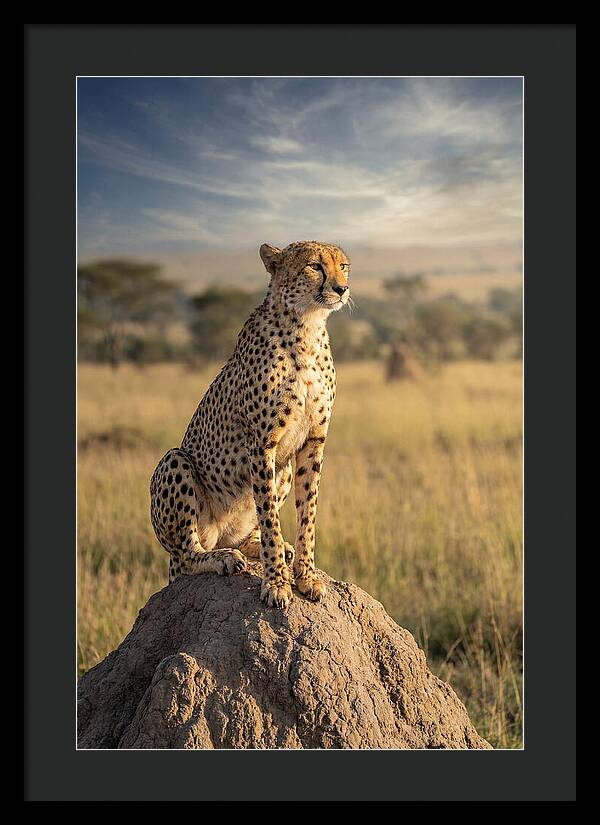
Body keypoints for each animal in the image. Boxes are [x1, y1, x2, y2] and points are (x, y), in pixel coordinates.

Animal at [150, 240, 350, 608]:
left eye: (343, 266)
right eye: (315, 266)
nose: (341, 289)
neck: (307, 326)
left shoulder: (313, 441)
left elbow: (308, 514)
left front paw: (306, 576)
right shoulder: (261, 444)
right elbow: (270, 515)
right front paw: (276, 583)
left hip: (283, 470)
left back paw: (260, 547)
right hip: (175, 463)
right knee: (187, 555)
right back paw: (222, 558)